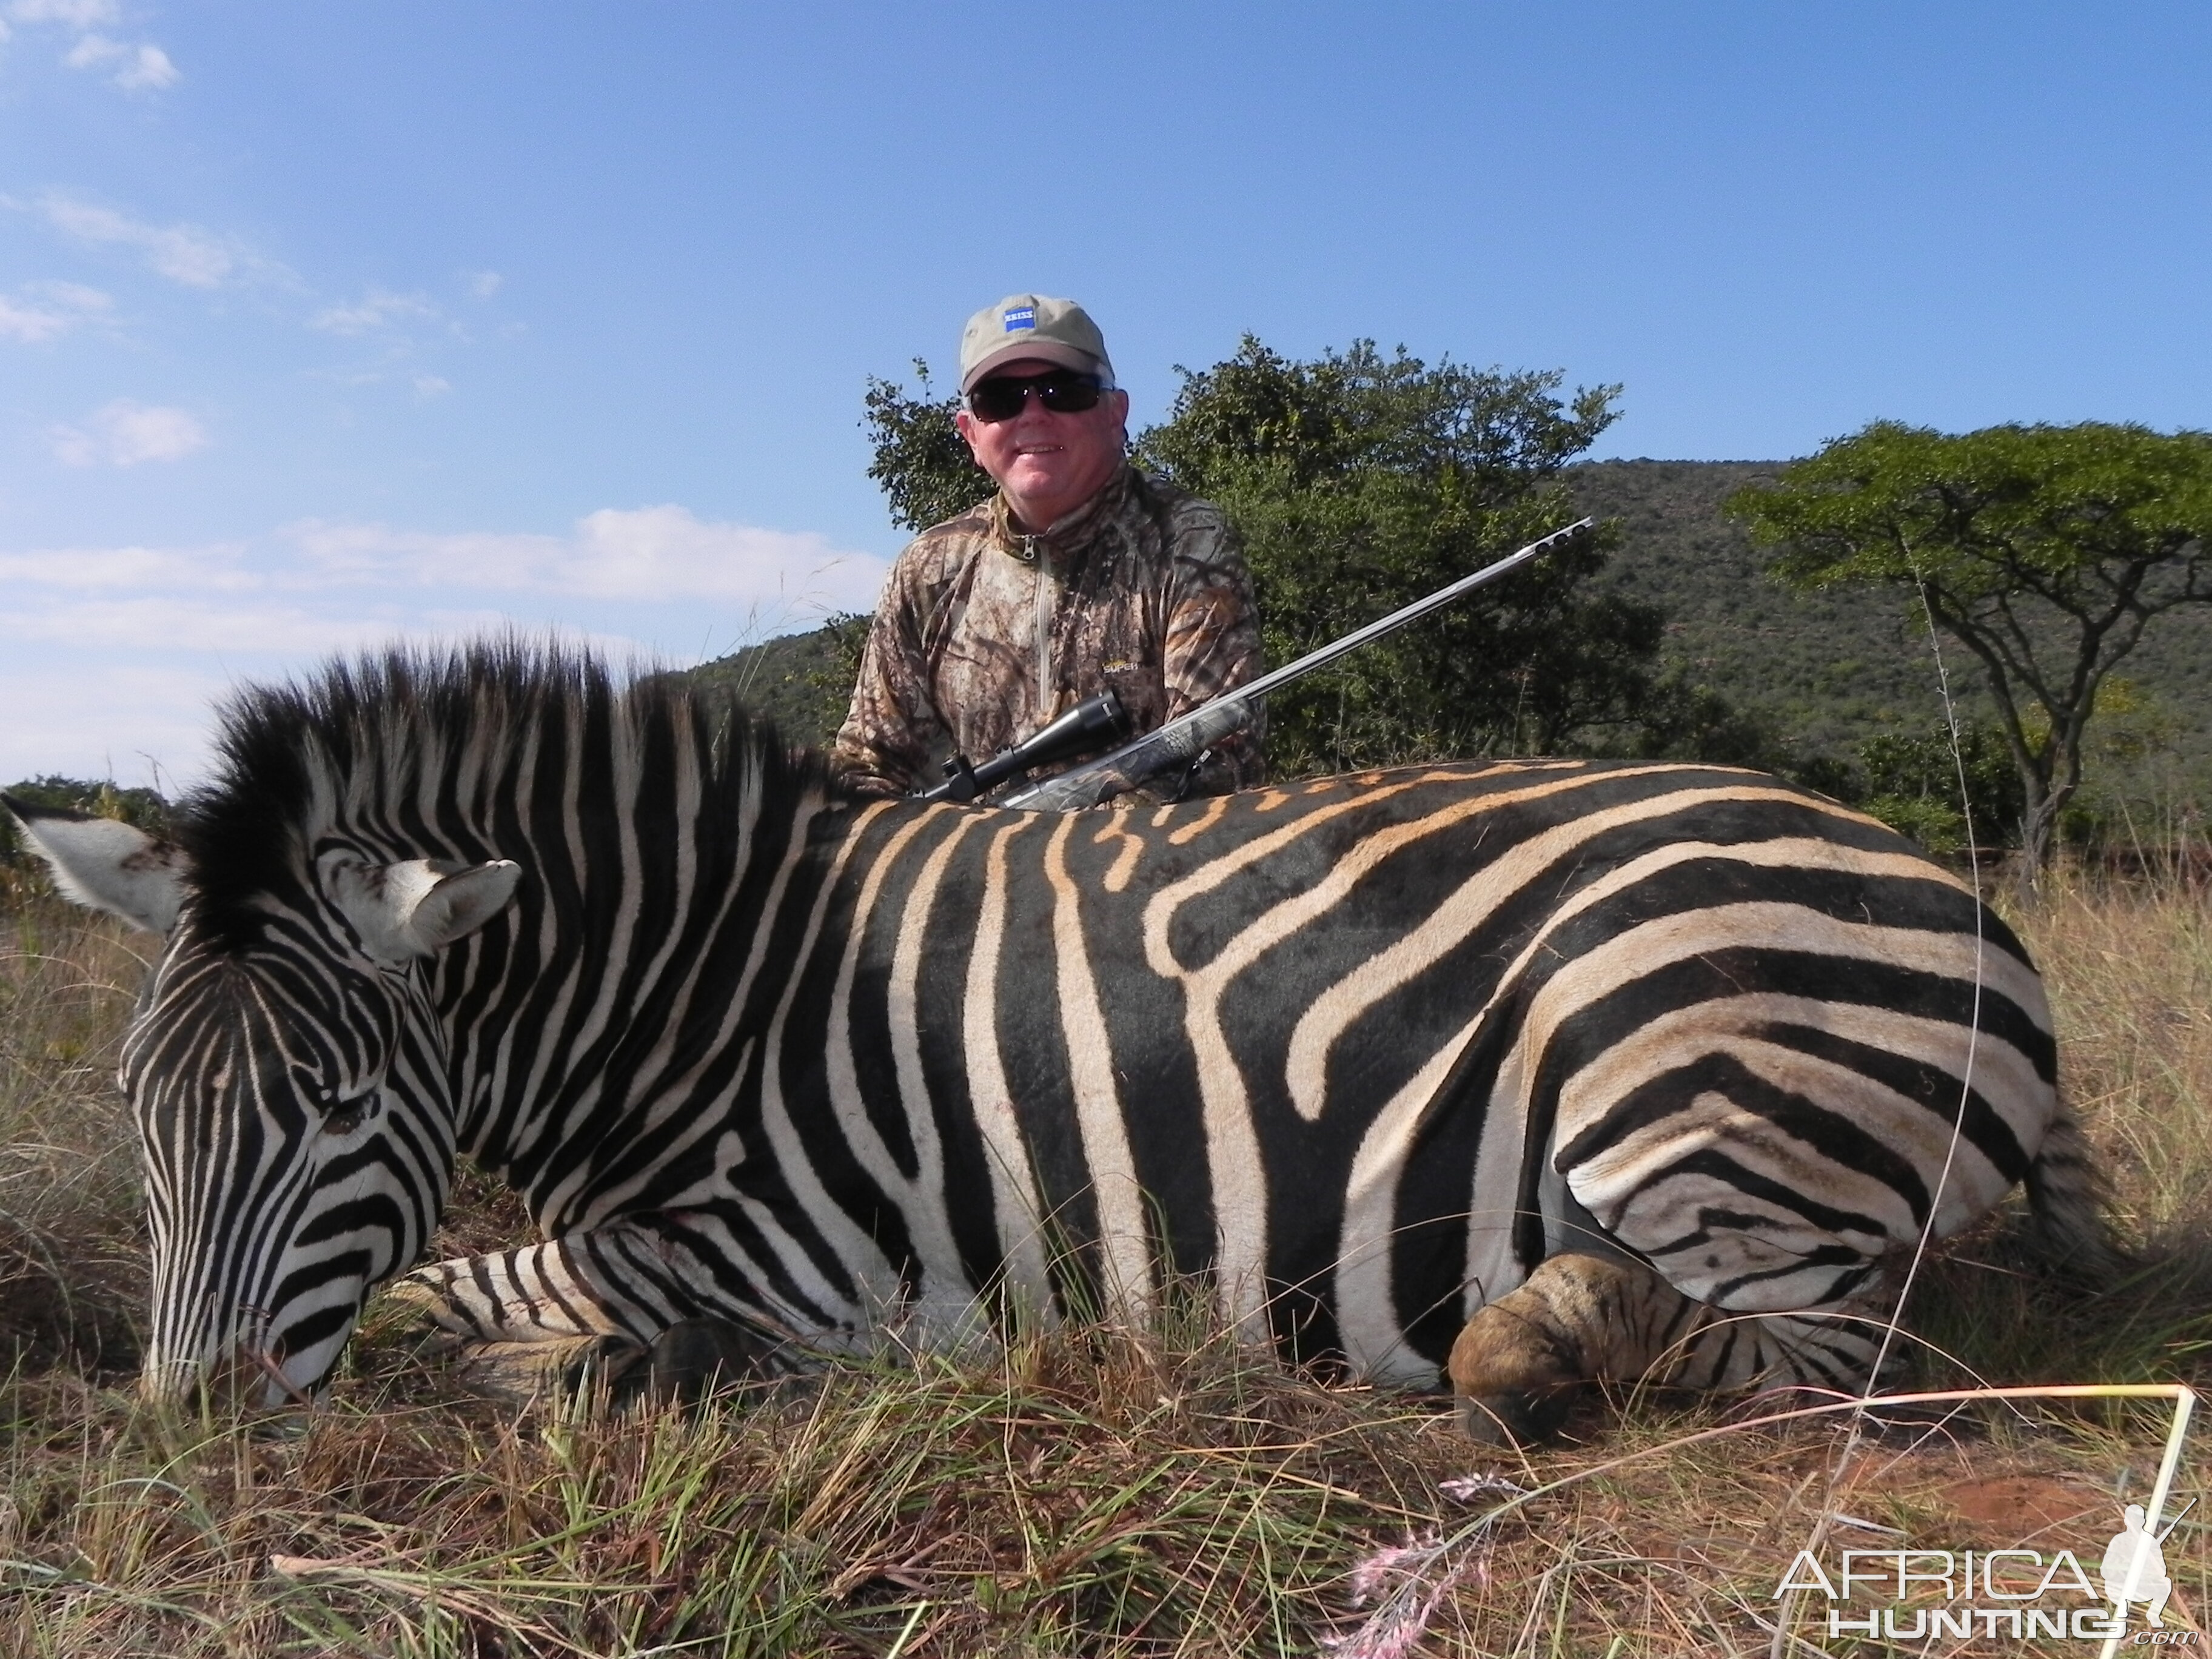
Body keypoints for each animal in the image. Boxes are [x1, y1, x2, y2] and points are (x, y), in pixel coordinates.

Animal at [4, 641, 2105, 1451]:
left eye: (339, 1112)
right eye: (138, 1114)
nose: (188, 1436)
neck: (705, 991)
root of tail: (1962, 899)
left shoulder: (793, 1262)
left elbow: (457, 1293)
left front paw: (564, 1372)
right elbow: (453, 1288)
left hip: (1677, 1074)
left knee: (1834, 1359)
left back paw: (1526, 1346)